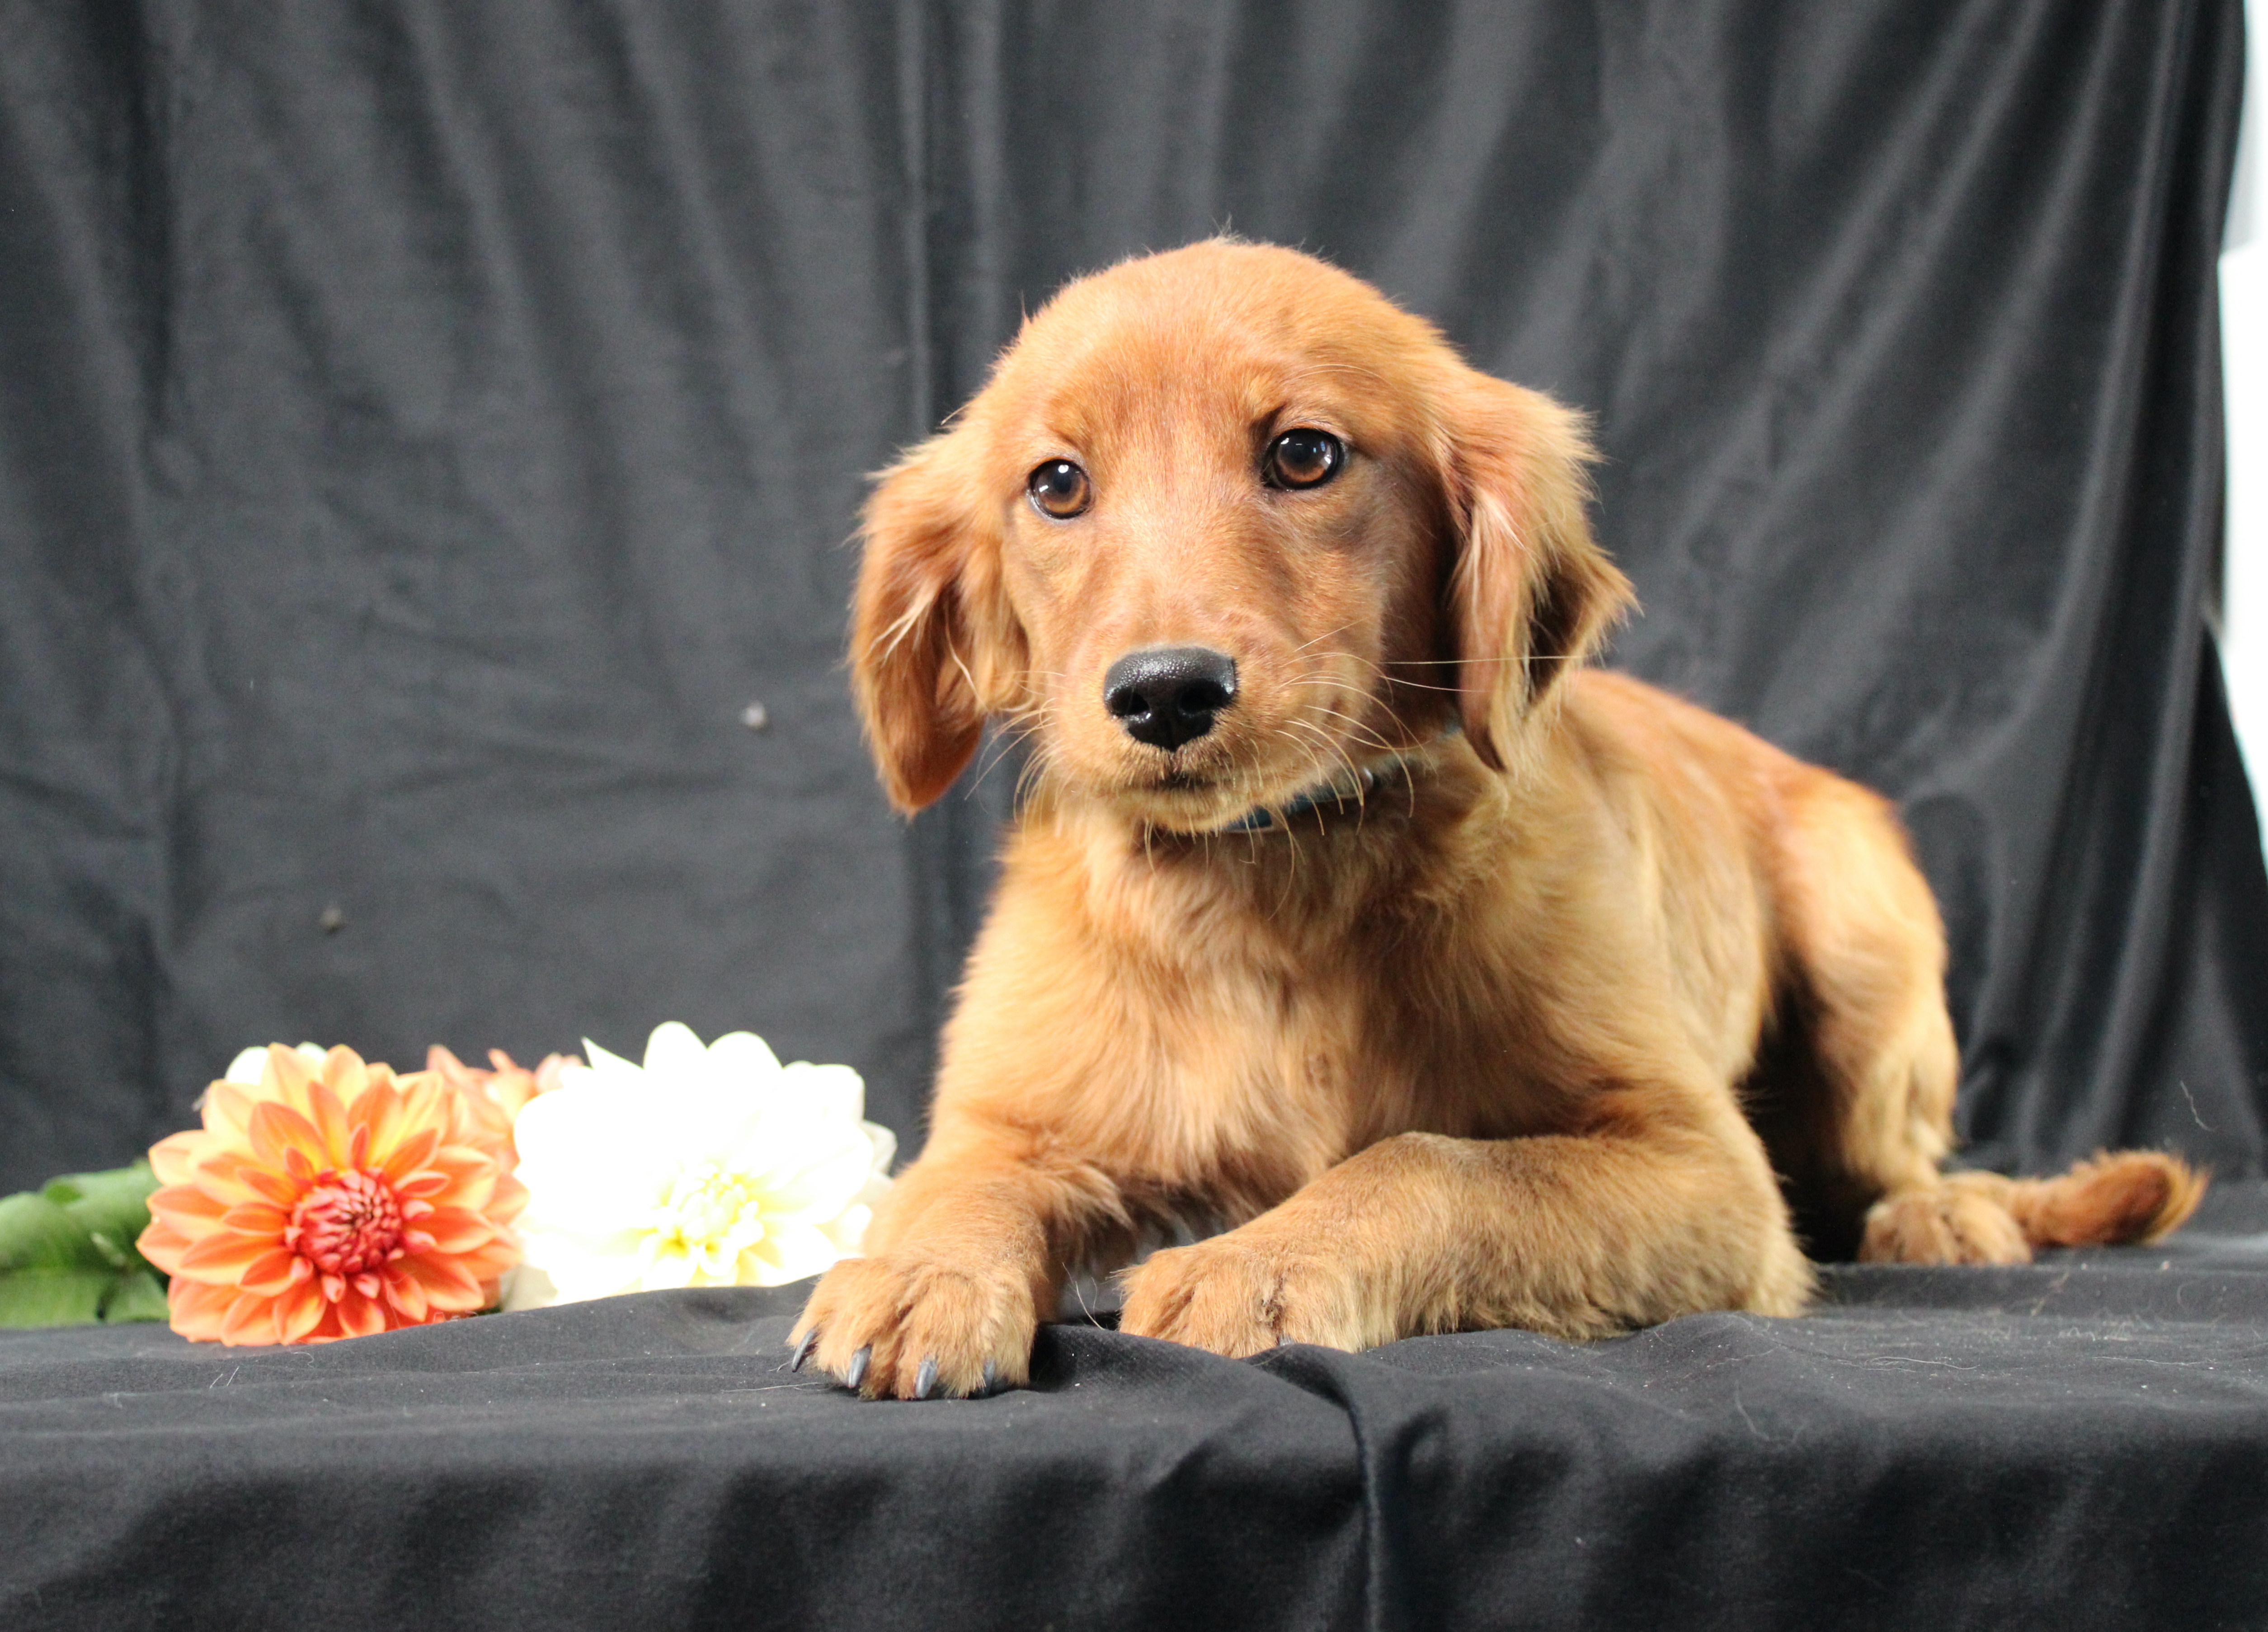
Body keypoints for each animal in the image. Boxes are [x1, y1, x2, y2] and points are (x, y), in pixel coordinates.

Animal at [789, 242, 2204, 1405]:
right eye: (1055, 483)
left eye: (1303, 454)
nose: (1165, 691)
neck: (1275, 875)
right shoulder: (1014, 1118)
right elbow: (955, 1182)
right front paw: (917, 1272)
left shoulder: (1702, 1166)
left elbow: (1434, 1159)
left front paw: (1262, 1261)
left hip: (1866, 947)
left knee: (1896, 1151)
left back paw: (1942, 1215)